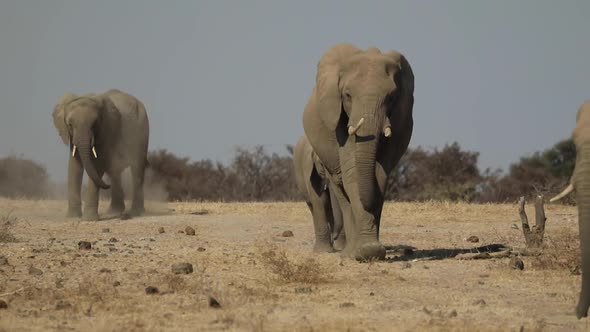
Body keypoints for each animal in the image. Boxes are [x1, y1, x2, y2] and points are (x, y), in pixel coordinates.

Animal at [51, 89, 150, 222]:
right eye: (70, 124)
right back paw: (115, 211)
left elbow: (99, 164)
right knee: (115, 171)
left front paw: (89, 219)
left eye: (95, 124)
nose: (106, 185)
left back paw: (136, 212)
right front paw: (73, 217)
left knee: (137, 169)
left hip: (142, 131)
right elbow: (74, 166)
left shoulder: (107, 129)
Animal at [302, 42, 414, 260]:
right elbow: (352, 171)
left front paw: (372, 250)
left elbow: (379, 174)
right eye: (347, 95)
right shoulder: (338, 119)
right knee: (339, 187)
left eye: (391, 97)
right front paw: (366, 252)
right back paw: (348, 253)